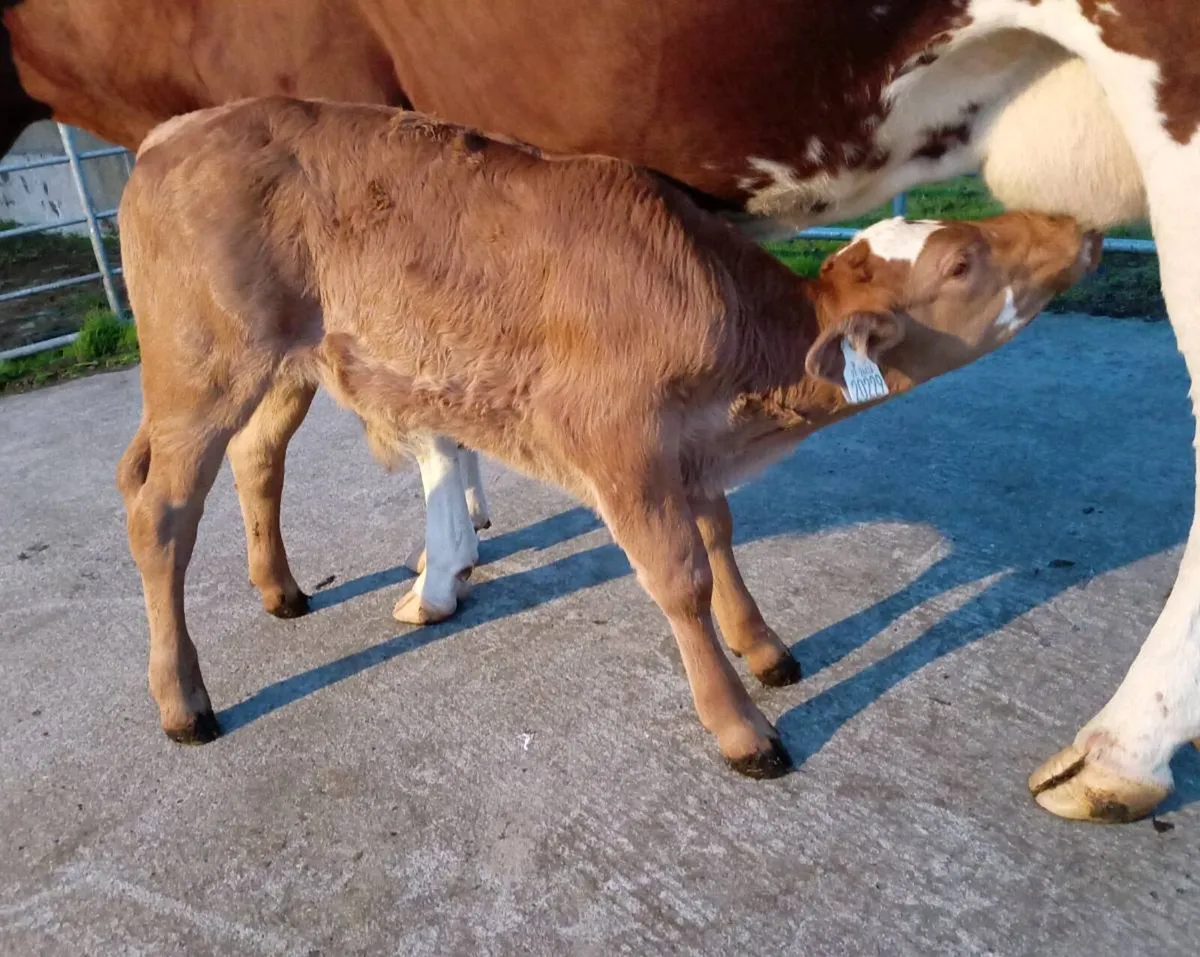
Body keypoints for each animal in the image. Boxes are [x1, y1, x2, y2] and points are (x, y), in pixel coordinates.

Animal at [116, 97, 1098, 778]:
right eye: (963, 264)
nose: (1079, 226)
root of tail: (176, 131)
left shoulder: (689, 449)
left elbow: (722, 535)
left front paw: (764, 645)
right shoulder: (622, 451)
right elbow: (681, 579)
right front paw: (741, 726)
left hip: (285, 365)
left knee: (256, 456)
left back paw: (279, 589)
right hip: (200, 372)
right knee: (159, 513)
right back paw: (184, 703)